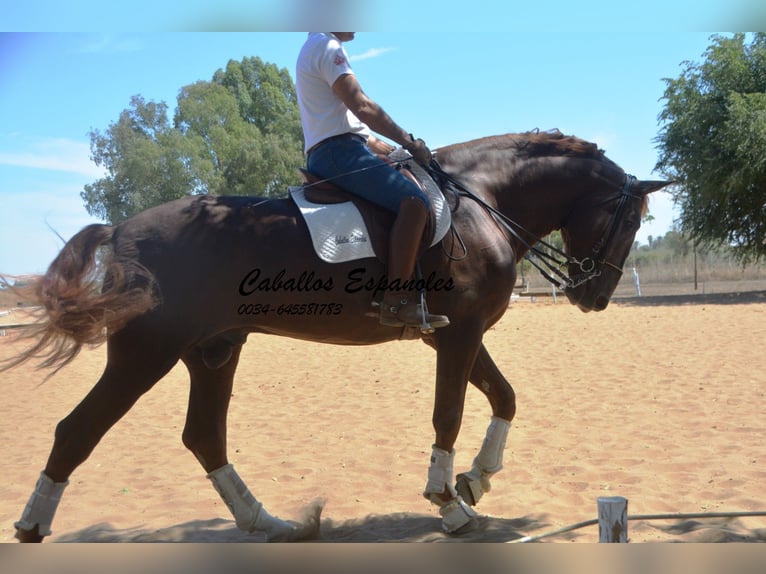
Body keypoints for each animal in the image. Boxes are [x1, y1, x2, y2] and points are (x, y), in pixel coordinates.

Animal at [6, 128, 668, 544]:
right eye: (629, 221)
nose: (594, 297)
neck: (483, 202)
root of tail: (121, 229)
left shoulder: (457, 334)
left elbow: (504, 398)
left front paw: (475, 479)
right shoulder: (457, 336)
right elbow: (449, 414)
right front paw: (448, 504)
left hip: (214, 351)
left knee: (205, 438)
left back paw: (272, 525)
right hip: (147, 354)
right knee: (77, 432)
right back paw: (32, 528)